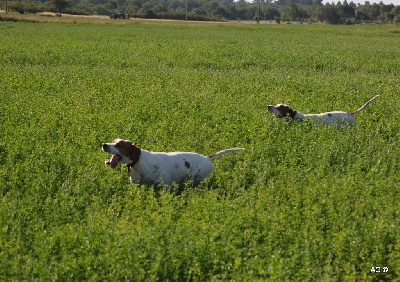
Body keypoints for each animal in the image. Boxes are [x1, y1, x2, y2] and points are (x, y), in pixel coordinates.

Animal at [102, 139, 244, 185]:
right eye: (113, 141)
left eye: (119, 145)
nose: (104, 145)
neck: (139, 164)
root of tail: (207, 158)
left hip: (194, 179)